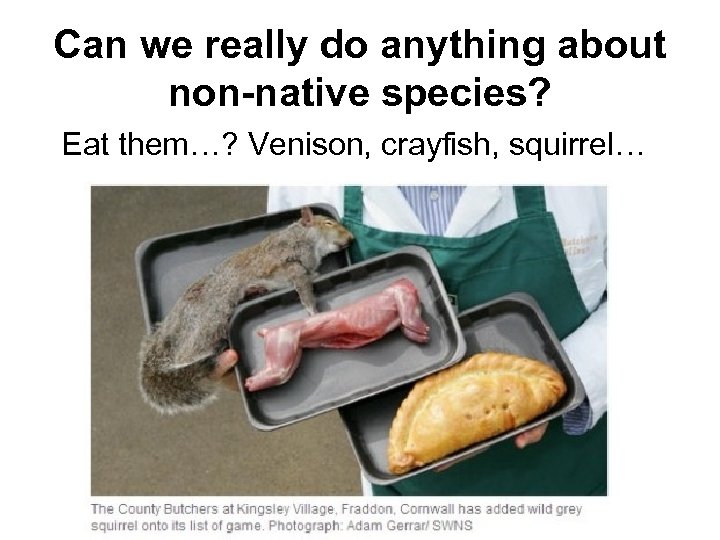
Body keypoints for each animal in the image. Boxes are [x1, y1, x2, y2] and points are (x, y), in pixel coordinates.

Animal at [138, 206, 354, 414]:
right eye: (328, 223)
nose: (351, 238)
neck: (304, 238)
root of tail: (170, 330)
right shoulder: (291, 263)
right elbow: (303, 287)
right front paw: (313, 311)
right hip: (209, 323)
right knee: (186, 355)